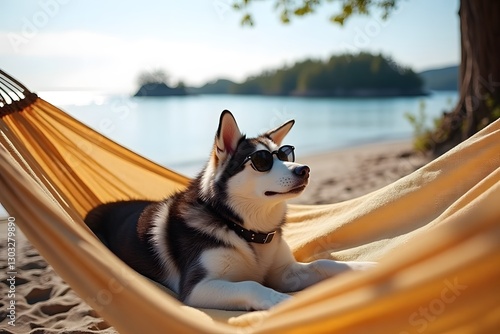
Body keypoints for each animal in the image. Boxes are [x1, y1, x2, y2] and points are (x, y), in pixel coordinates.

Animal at [85, 110, 376, 310]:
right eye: (262, 161)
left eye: (286, 154)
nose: (304, 169)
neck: (244, 229)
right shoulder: (196, 288)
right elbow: (252, 284)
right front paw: (283, 302)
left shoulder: (284, 273)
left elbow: (323, 263)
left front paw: (364, 266)